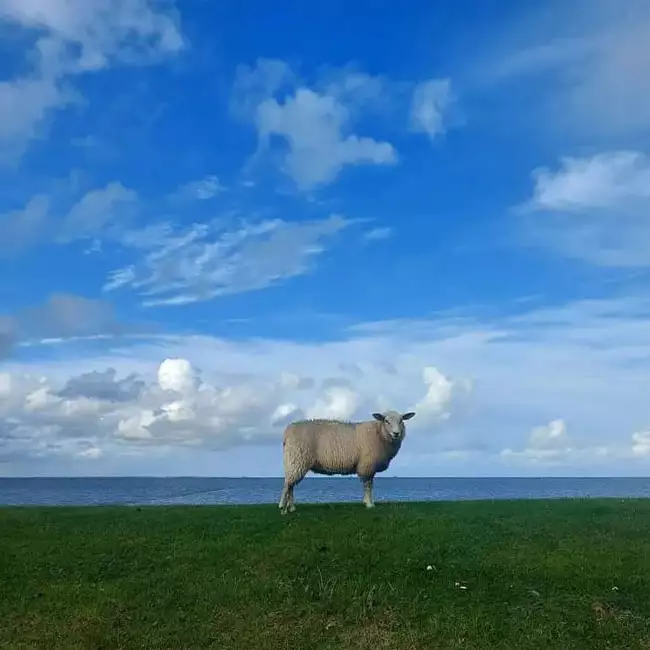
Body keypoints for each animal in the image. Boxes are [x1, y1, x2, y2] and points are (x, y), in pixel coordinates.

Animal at [278, 410, 416, 514]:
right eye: (386, 421)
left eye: (401, 420)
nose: (396, 433)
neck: (379, 434)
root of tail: (288, 431)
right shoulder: (367, 466)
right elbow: (368, 486)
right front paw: (369, 504)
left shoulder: (369, 467)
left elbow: (369, 485)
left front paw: (367, 502)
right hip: (297, 459)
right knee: (287, 484)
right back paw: (282, 508)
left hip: (294, 462)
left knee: (290, 485)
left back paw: (291, 507)